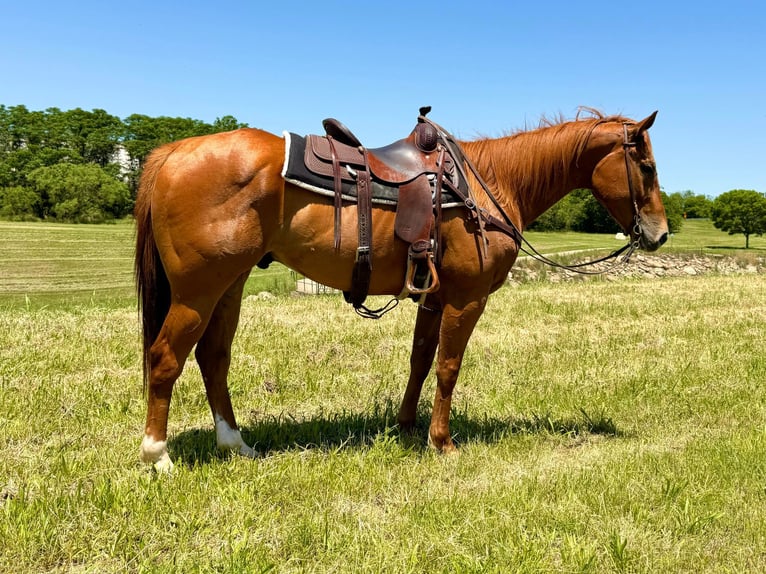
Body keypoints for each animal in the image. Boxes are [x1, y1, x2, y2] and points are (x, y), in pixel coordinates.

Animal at [135, 108, 668, 472]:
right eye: (646, 166)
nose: (660, 234)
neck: (489, 183)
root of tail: (173, 153)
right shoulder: (467, 299)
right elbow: (449, 367)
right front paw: (442, 441)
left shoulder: (433, 298)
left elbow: (420, 360)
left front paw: (408, 427)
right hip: (197, 291)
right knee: (166, 358)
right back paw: (157, 455)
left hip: (230, 286)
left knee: (213, 359)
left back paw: (236, 444)